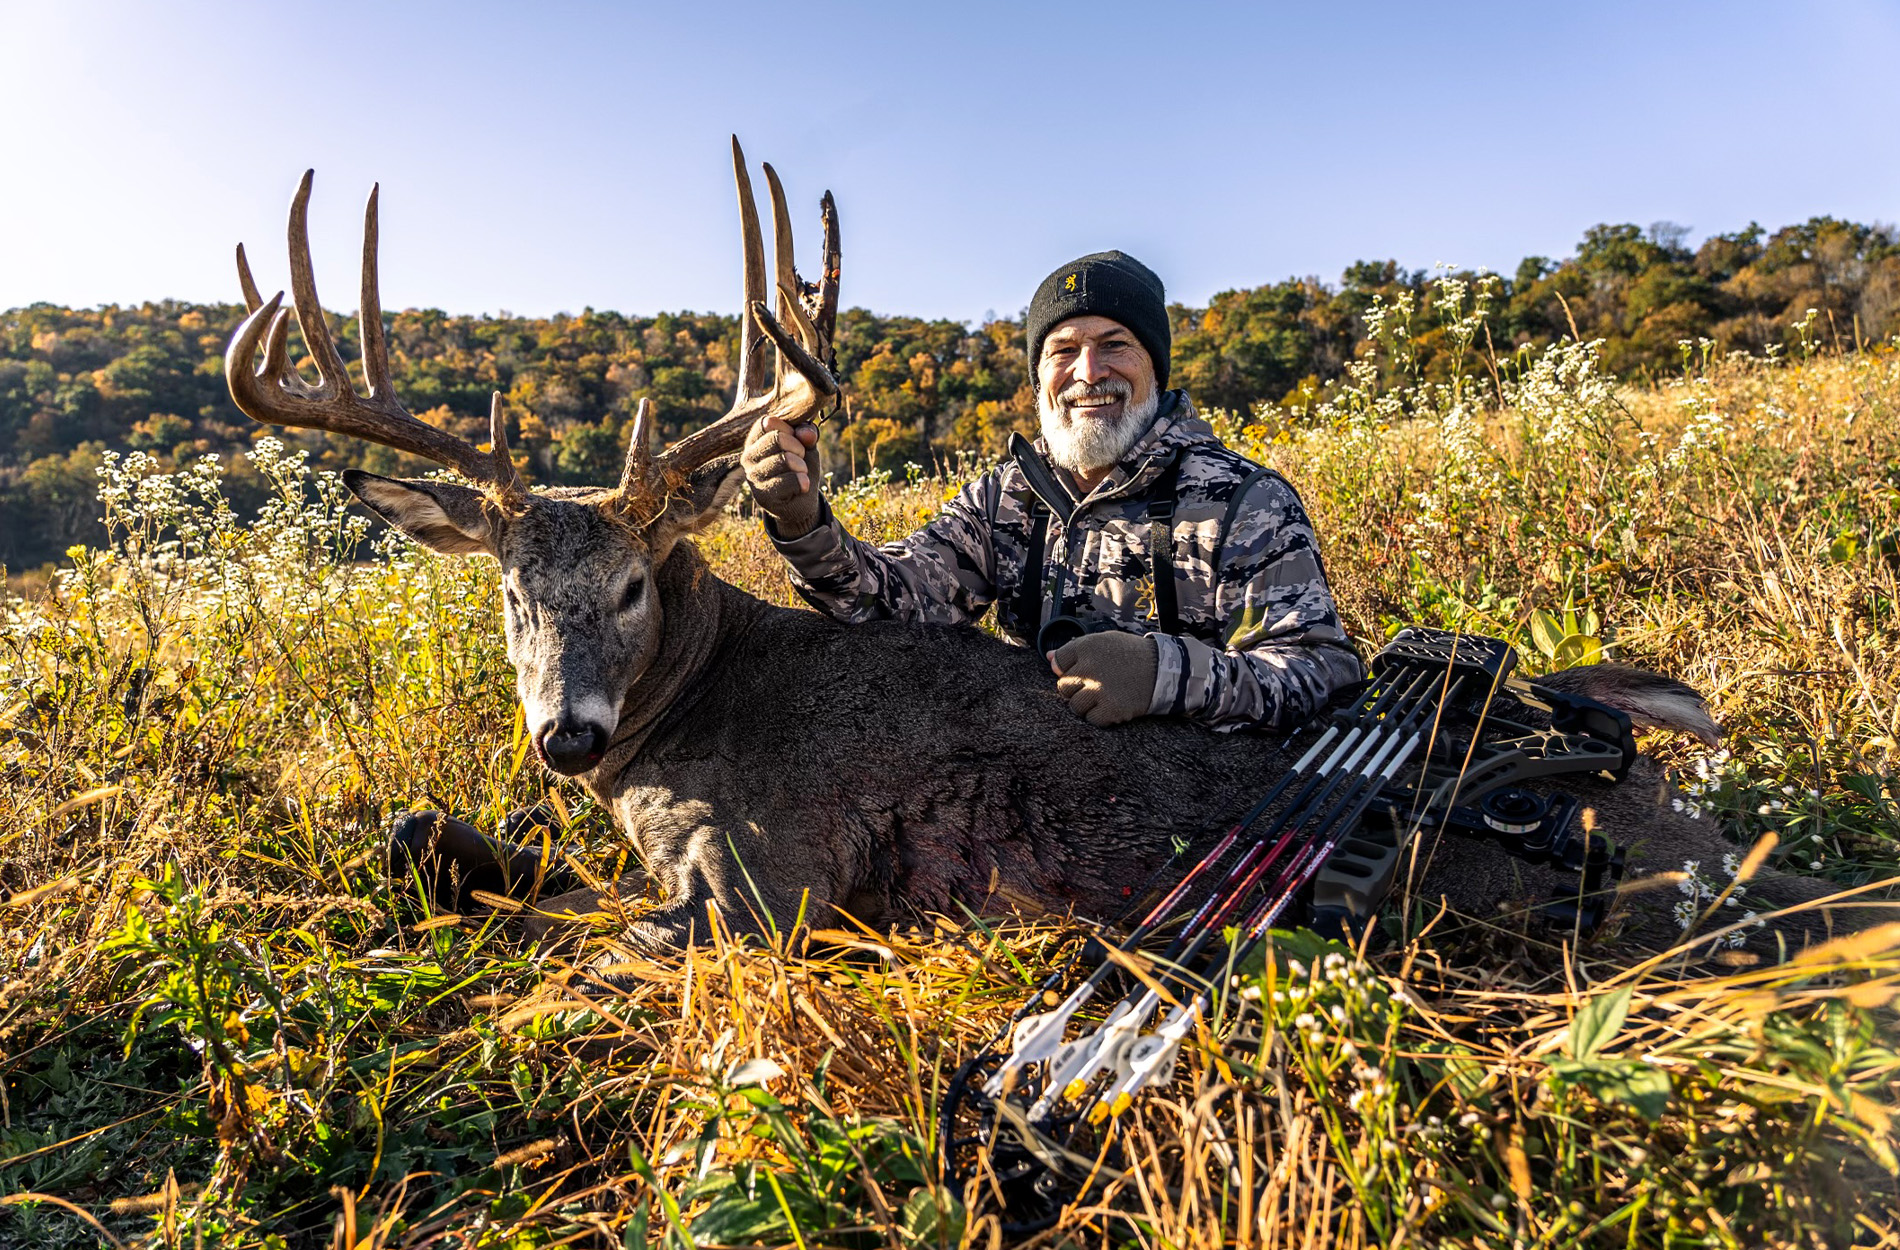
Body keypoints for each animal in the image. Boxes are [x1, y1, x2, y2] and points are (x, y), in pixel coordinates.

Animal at [222, 141, 1869, 949]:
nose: (564, 735)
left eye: (632, 581)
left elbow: (559, 925)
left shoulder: (767, 885)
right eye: (508, 587)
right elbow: (432, 838)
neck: (685, 722)